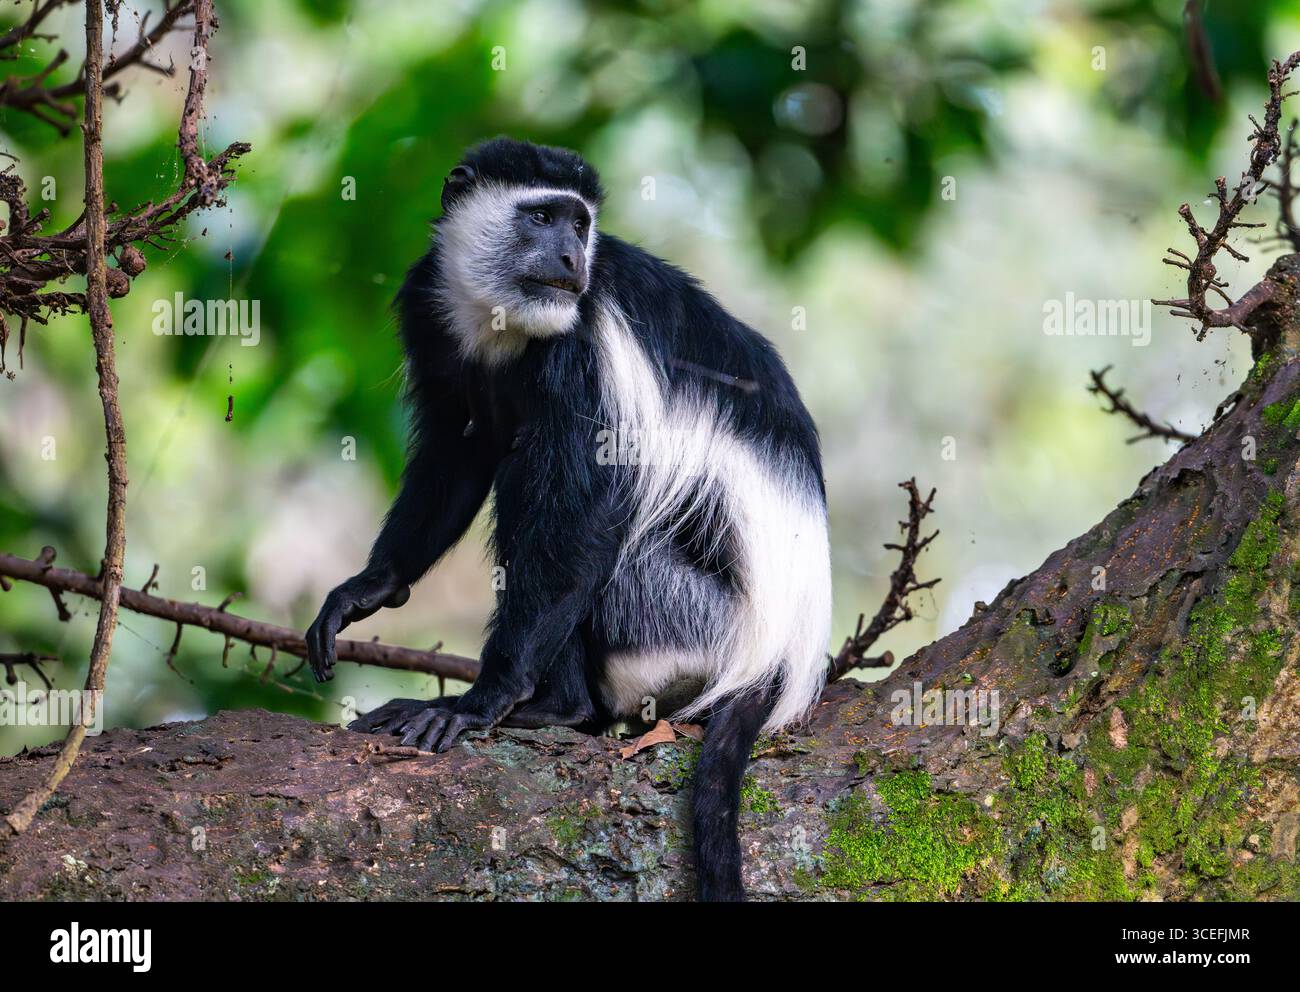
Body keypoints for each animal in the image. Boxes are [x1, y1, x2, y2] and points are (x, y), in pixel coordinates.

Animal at [306, 138, 831, 901]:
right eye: (542, 216)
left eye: (580, 225)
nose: (568, 258)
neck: (503, 321)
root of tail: (781, 654)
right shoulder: (429, 305)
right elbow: (459, 448)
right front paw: (368, 587)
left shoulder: (584, 348)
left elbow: (585, 508)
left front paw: (478, 702)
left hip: (687, 621)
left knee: (556, 509)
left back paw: (556, 708)